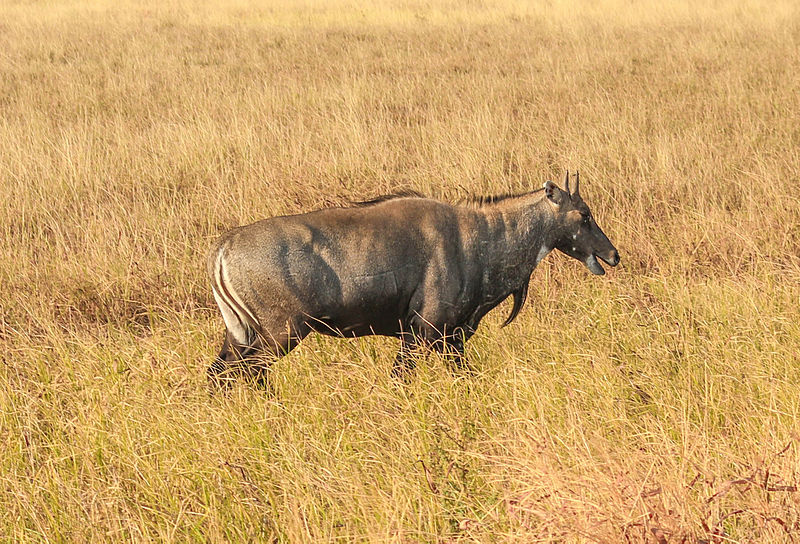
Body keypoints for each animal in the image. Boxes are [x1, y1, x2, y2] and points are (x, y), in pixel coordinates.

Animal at [206, 172, 620, 388]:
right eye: (584, 214)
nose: (613, 255)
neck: (481, 236)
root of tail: (224, 248)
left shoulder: (450, 340)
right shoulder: (423, 333)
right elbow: (400, 381)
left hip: (241, 336)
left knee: (219, 373)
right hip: (280, 336)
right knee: (245, 374)